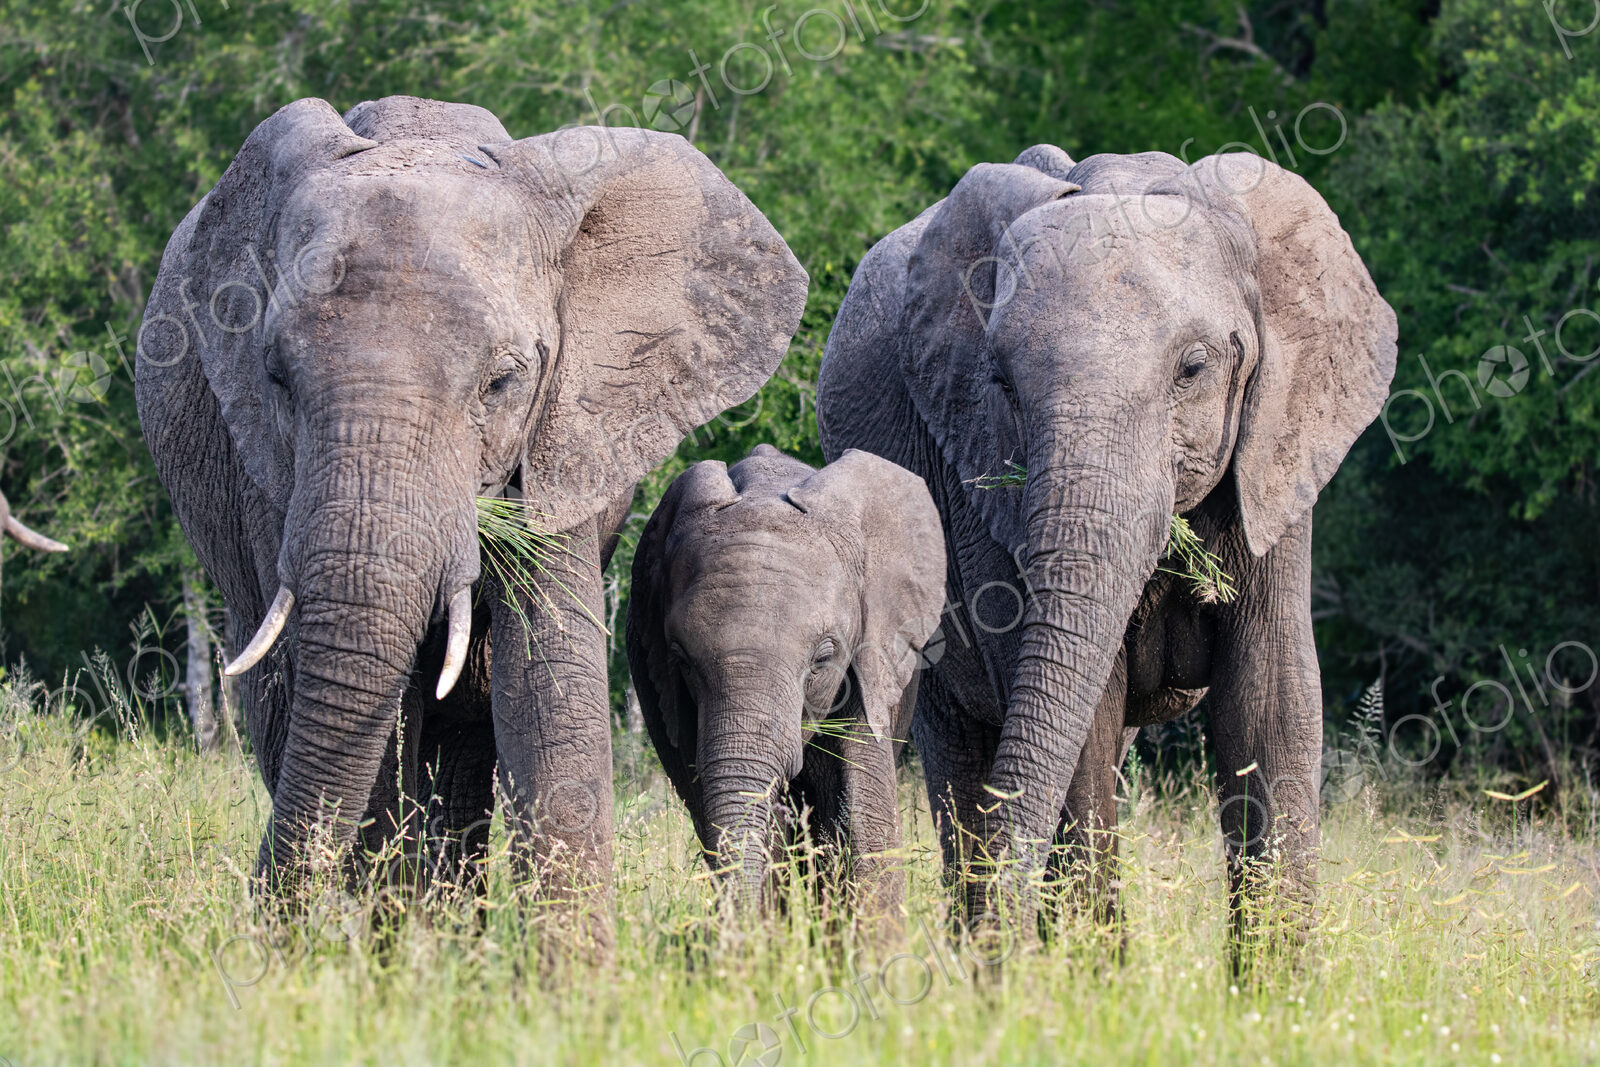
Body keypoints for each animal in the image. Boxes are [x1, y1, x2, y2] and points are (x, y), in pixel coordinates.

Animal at [133, 95, 807, 936]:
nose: (264, 929)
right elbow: (375, 728)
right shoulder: (264, 465)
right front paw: (394, 951)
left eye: (502, 382)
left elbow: (550, 682)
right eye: (276, 377)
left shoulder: (568, 428)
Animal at [816, 145, 1396, 944]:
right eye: (1000, 383)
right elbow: (1078, 713)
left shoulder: (1277, 448)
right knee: (963, 746)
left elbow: (1270, 701)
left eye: (1194, 368)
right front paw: (1082, 970)